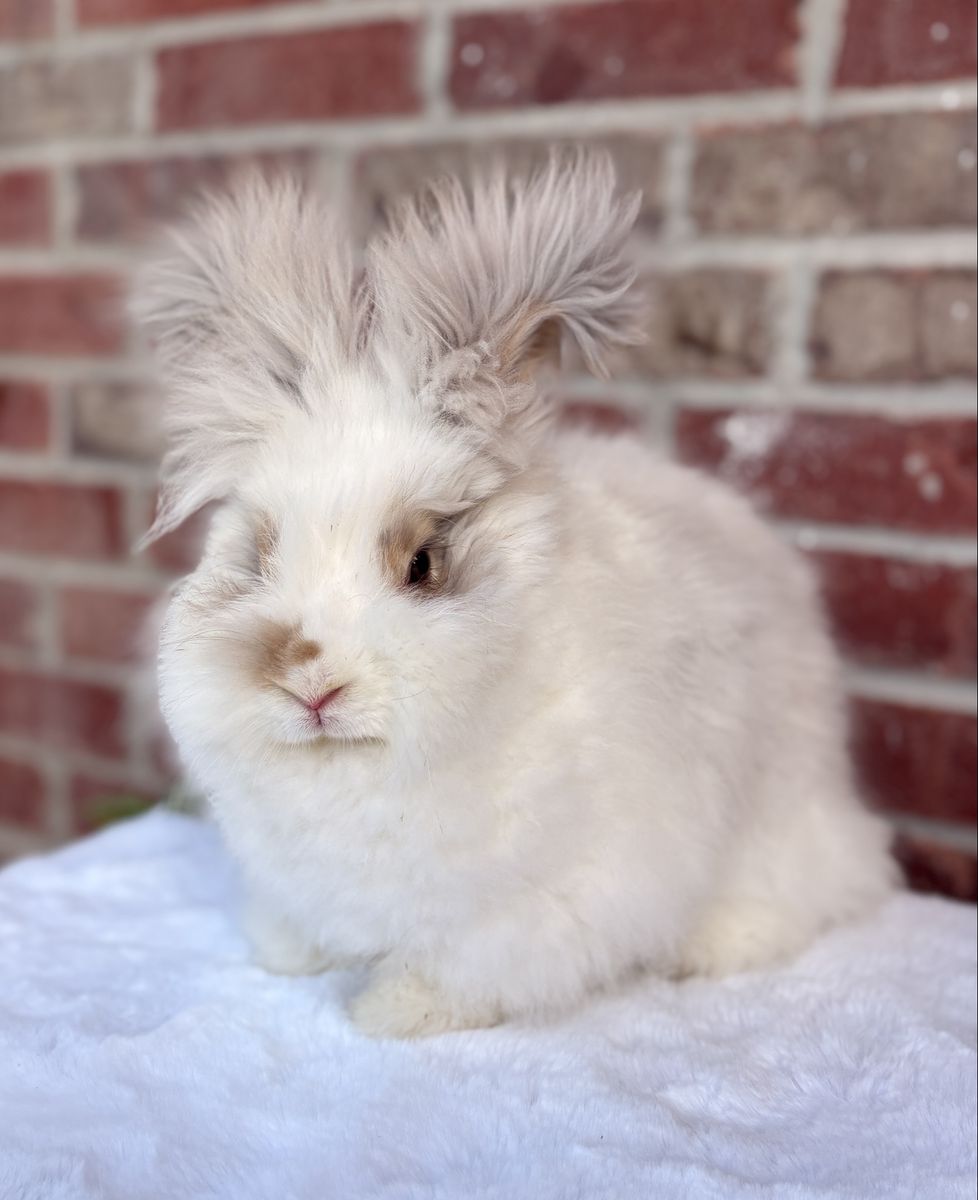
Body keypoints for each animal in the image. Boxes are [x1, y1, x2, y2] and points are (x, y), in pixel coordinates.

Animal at [133, 154, 896, 1039]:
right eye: (259, 557)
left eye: (422, 563)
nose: (310, 684)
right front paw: (289, 960)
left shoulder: (536, 907)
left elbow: (461, 971)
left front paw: (391, 1013)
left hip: (781, 811)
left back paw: (717, 946)